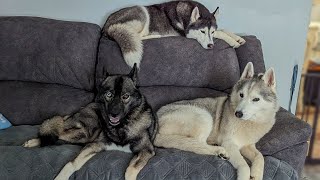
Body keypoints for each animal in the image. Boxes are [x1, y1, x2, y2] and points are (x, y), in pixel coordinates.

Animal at [23, 64, 158, 180]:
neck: (121, 126)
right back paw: (32, 142)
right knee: (58, 133)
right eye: (109, 94)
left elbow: (131, 169)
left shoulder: (146, 150)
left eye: (125, 96)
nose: (113, 114)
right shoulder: (95, 144)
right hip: (88, 132)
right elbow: (72, 163)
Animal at [102, 0, 245, 67]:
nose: (211, 46)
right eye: (202, 31)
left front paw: (239, 38)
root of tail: (106, 25)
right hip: (141, 12)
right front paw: (233, 41)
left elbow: (223, 30)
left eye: (211, 31)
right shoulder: (187, 34)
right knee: (137, 35)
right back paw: (156, 35)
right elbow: (221, 33)